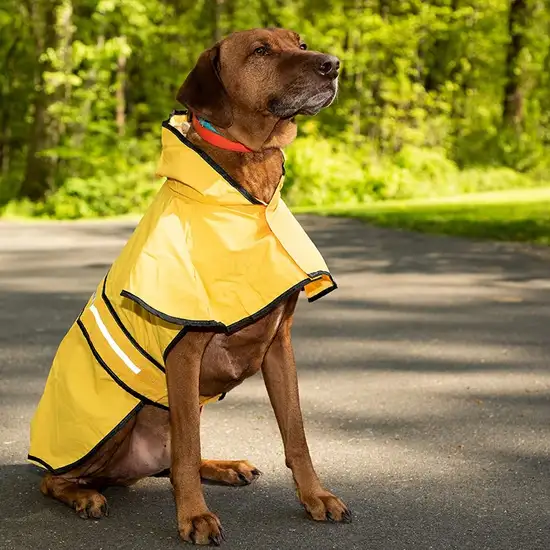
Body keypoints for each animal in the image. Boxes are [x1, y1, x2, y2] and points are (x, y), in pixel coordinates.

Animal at [38, 27, 352, 548]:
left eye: (301, 43)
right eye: (261, 50)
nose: (332, 64)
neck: (247, 186)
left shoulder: (279, 345)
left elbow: (297, 435)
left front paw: (316, 496)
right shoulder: (184, 354)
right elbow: (185, 451)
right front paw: (195, 517)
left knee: (172, 460)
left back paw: (224, 466)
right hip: (115, 424)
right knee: (57, 477)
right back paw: (84, 495)